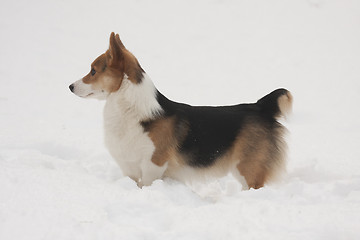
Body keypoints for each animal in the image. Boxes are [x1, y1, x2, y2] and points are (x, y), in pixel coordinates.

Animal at [69, 32, 292, 189]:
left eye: (93, 71)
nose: (70, 86)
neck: (132, 110)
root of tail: (261, 107)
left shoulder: (153, 165)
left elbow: (147, 184)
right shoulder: (129, 167)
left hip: (249, 169)